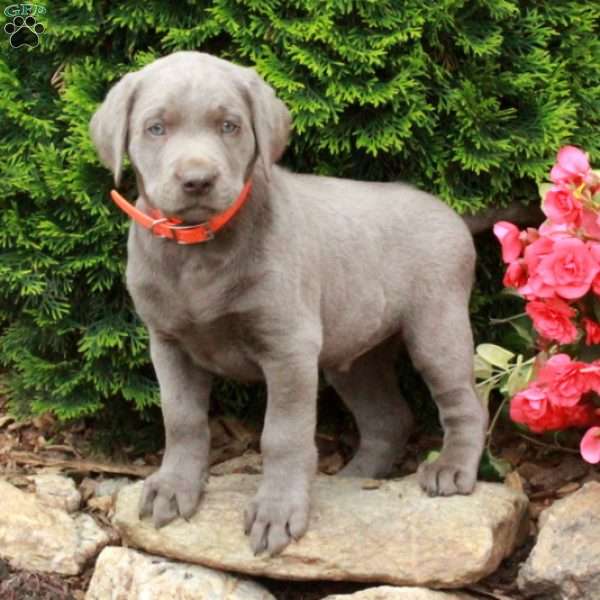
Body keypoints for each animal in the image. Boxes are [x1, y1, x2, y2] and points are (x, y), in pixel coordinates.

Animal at [90, 51, 492, 556]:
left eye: (229, 125)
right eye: (156, 128)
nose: (198, 180)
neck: (201, 251)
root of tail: (453, 214)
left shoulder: (288, 349)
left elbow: (282, 435)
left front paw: (278, 510)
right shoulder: (168, 344)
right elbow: (181, 418)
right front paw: (174, 486)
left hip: (437, 325)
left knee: (464, 402)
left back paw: (452, 468)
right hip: (354, 354)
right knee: (389, 418)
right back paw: (355, 476)